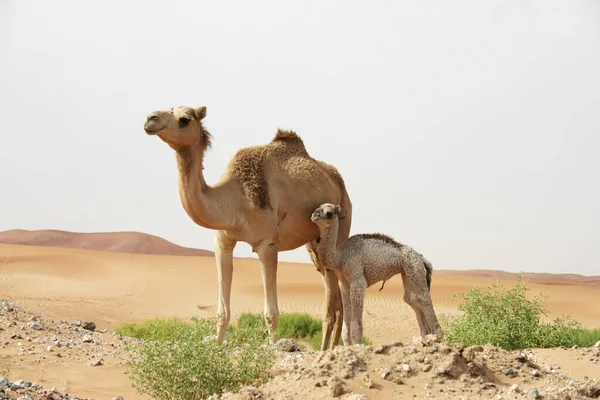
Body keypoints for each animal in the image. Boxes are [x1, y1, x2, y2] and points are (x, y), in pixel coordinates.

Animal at [312, 203, 438, 344]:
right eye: (317, 208)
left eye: (328, 213)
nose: (314, 215)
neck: (340, 257)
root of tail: (422, 258)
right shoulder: (344, 283)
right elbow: (346, 325)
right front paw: (348, 345)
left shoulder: (357, 278)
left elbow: (356, 324)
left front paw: (357, 344)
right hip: (407, 271)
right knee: (412, 298)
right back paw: (425, 337)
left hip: (414, 267)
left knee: (424, 299)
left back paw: (436, 336)